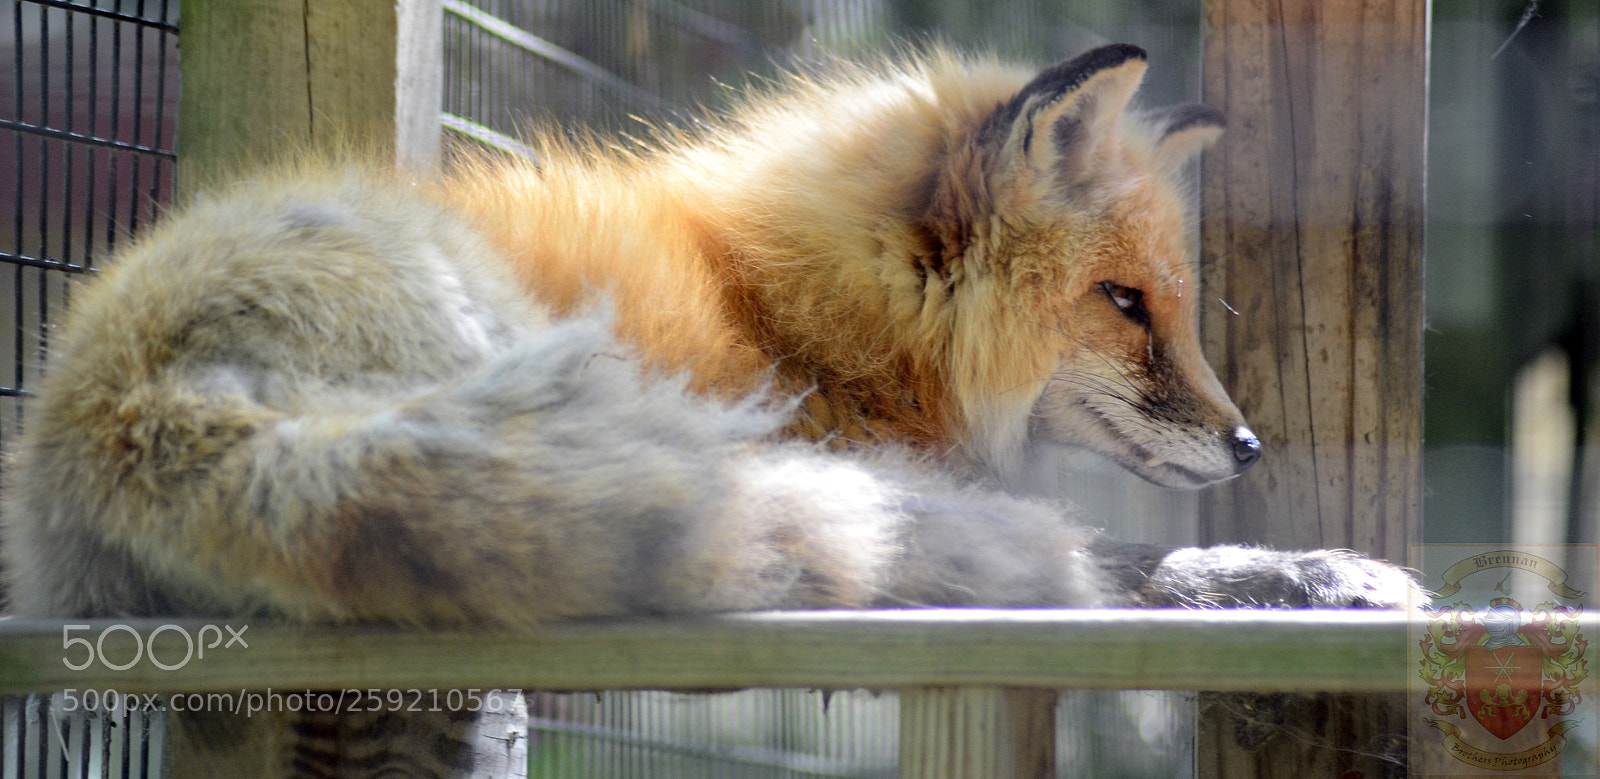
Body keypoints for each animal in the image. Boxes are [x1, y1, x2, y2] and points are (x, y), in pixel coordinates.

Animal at [2, 44, 1415, 778]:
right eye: (1125, 303)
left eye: (1169, 305)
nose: (1247, 442)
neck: (797, 311)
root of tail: (118, 402)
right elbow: (1133, 560)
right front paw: (1311, 570)